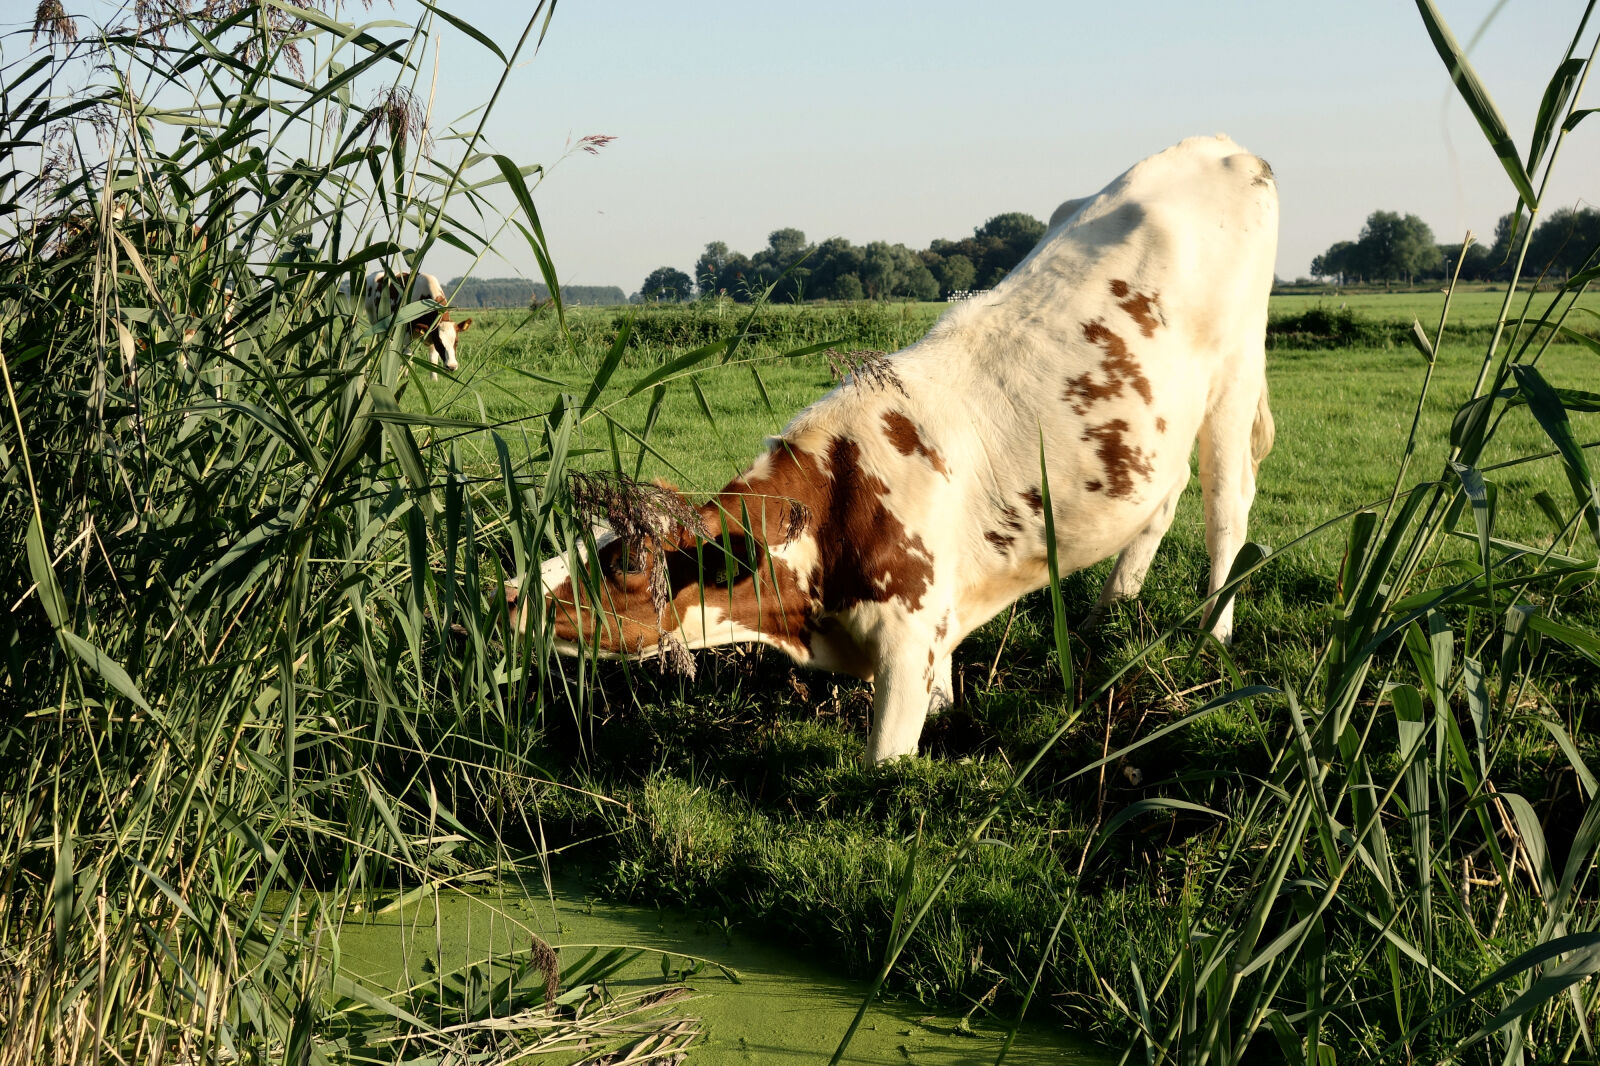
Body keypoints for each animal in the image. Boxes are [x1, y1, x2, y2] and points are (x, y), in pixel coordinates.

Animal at [518, 135, 1278, 764]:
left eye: (627, 562)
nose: (507, 594)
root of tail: (1217, 143)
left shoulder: (908, 642)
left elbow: (885, 764)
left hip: (1236, 375)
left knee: (1226, 508)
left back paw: (1213, 635)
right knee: (1160, 497)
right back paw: (1103, 617)